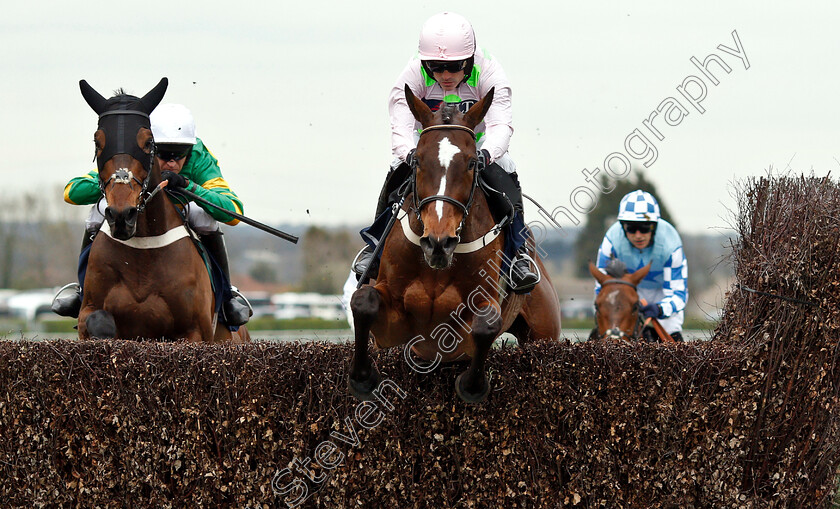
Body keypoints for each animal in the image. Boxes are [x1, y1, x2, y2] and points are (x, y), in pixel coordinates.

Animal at [76, 77, 248, 344]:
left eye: (148, 142)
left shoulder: (193, 331)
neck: (142, 257)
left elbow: (230, 204)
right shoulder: (88, 311)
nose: (122, 216)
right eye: (98, 141)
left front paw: (176, 180)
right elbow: (100, 321)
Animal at [352, 85, 560, 404]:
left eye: (473, 162)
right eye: (417, 160)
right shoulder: (395, 324)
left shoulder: (477, 308)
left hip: (544, 330)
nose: (439, 242)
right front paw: (363, 379)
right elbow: (363, 302)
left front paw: (472, 385)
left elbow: (486, 325)